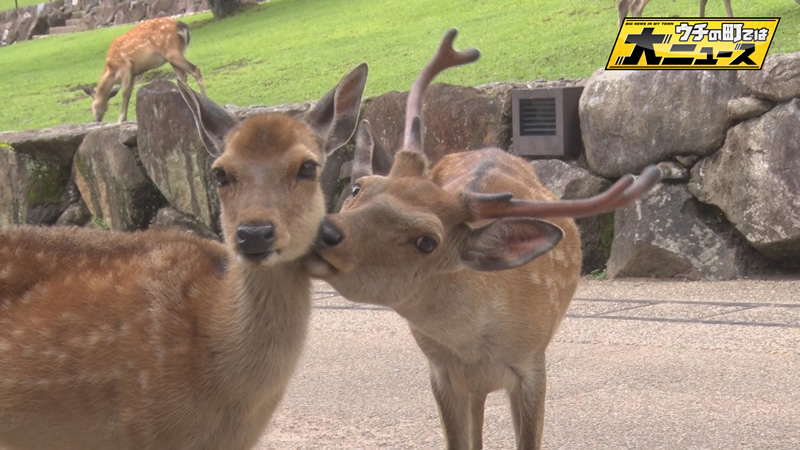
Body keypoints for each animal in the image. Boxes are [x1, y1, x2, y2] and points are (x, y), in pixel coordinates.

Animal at [304, 29, 660, 448]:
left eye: (427, 241)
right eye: (359, 188)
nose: (325, 232)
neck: (473, 348)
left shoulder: (532, 364)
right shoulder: (440, 371)